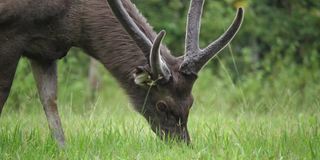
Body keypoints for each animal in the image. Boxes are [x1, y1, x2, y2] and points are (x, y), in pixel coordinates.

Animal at [0, 0, 244, 148]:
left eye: (191, 102)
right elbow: (3, 96)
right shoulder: (11, 35)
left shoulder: (45, 51)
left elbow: (50, 101)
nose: (182, 144)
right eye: (161, 105)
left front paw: (63, 149)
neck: (72, 20)